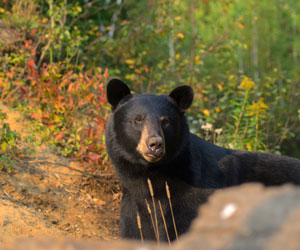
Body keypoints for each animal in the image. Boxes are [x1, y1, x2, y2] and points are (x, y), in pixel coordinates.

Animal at [105, 78, 300, 242]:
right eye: (138, 119)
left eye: (165, 121)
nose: (155, 144)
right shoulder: (133, 205)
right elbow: (135, 231)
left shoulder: (192, 199)